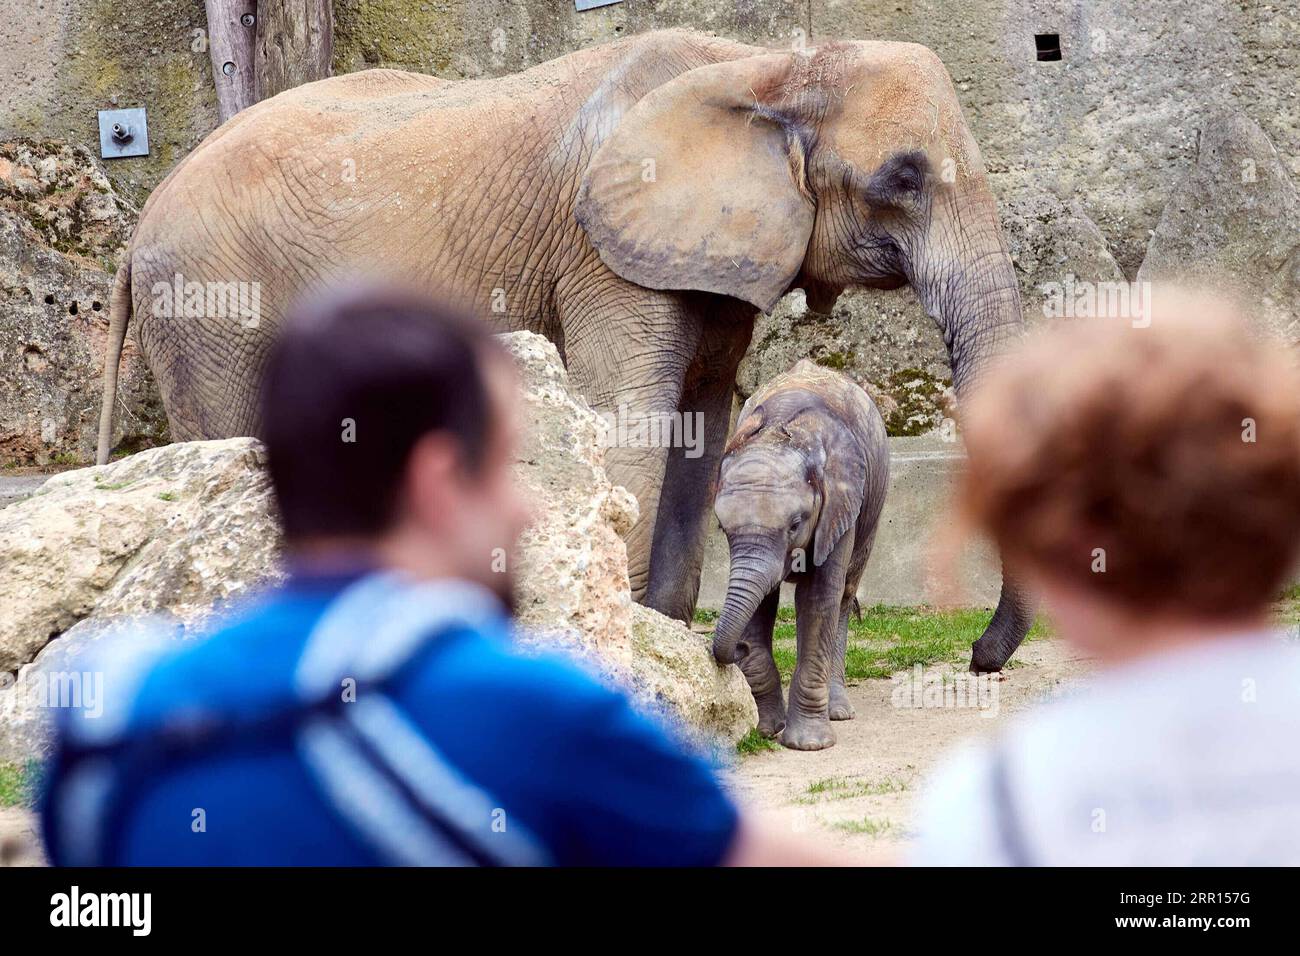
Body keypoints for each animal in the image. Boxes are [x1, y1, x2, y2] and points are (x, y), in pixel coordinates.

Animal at [96, 27, 1034, 671]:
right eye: (902, 179)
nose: (978, 658)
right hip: (210, 305)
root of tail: (140, 220)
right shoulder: (602, 254)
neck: (766, 63)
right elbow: (631, 413)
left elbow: (701, 419)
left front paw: (672, 642)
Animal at [717, 356, 889, 749]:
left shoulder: (840, 501)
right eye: (721, 528)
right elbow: (760, 603)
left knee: (844, 595)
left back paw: (838, 710)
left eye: (796, 524)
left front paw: (809, 745)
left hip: (872, 506)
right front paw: (766, 730)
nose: (738, 650)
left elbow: (818, 599)